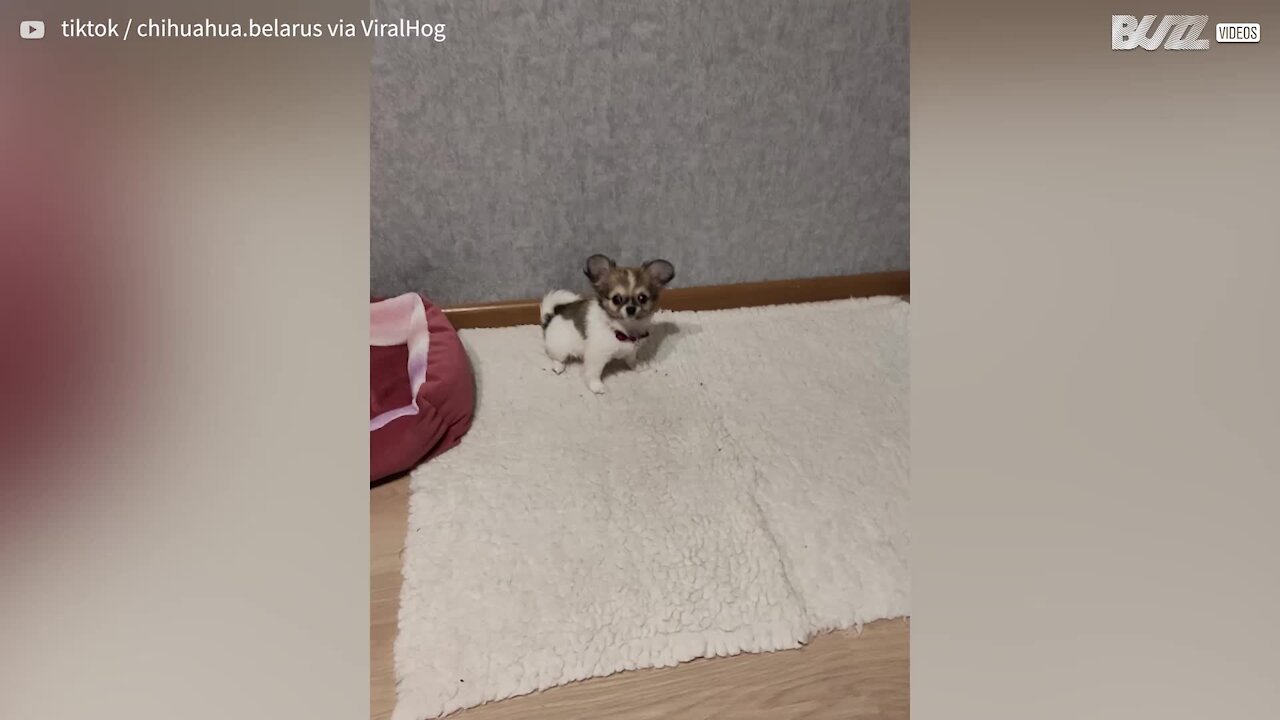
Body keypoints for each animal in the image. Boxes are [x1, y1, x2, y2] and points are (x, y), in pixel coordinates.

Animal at [540, 253, 680, 392]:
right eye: (616, 299)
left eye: (642, 298)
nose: (630, 308)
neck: (622, 331)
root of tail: (550, 318)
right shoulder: (596, 356)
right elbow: (593, 373)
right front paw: (596, 386)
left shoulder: (631, 350)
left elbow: (631, 359)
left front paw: (637, 366)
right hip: (560, 348)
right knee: (557, 358)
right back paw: (558, 367)